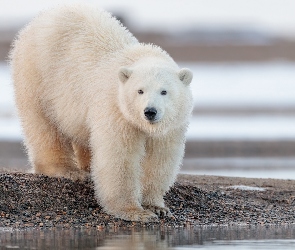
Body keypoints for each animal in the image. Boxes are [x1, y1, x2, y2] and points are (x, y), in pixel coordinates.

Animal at [9, 3, 194, 222]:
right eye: (139, 90)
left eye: (164, 91)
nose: (150, 111)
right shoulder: (115, 109)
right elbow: (119, 157)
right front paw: (134, 211)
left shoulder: (170, 127)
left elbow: (159, 158)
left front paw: (156, 206)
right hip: (37, 76)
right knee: (45, 127)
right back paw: (67, 170)